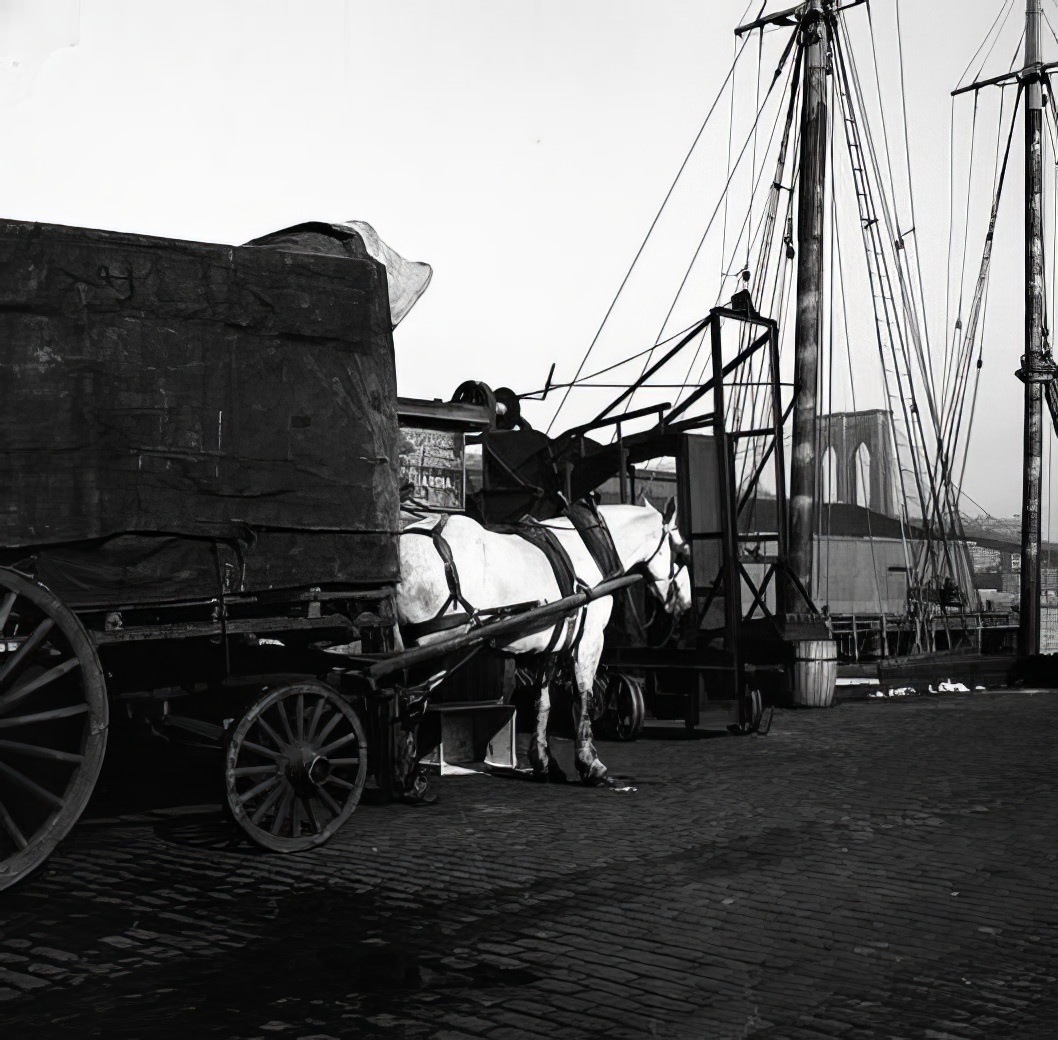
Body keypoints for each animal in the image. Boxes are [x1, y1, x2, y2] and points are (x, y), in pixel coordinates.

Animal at [393, 501, 689, 778]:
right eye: (682, 552)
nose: (685, 603)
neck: (586, 548)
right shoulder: (589, 639)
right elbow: (584, 696)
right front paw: (589, 763)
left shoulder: (551, 646)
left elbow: (542, 702)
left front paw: (544, 760)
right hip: (438, 648)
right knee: (410, 702)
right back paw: (406, 776)